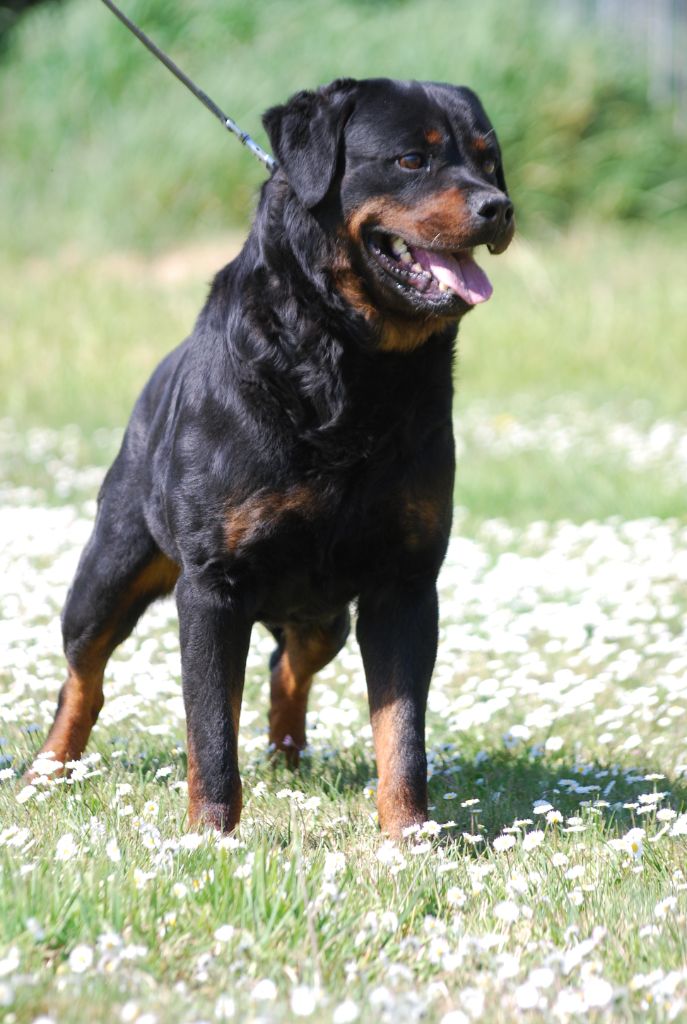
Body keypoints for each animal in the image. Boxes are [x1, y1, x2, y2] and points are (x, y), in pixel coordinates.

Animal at [34, 78, 514, 839]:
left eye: (488, 160)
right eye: (412, 159)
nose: (497, 206)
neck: (351, 365)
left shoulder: (404, 583)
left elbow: (401, 730)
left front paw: (409, 837)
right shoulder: (211, 585)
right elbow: (208, 729)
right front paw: (210, 839)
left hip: (325, 615)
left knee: (287, 664)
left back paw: (289, 760)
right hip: (108, 570)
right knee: (84, 673)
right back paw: (49, 769)